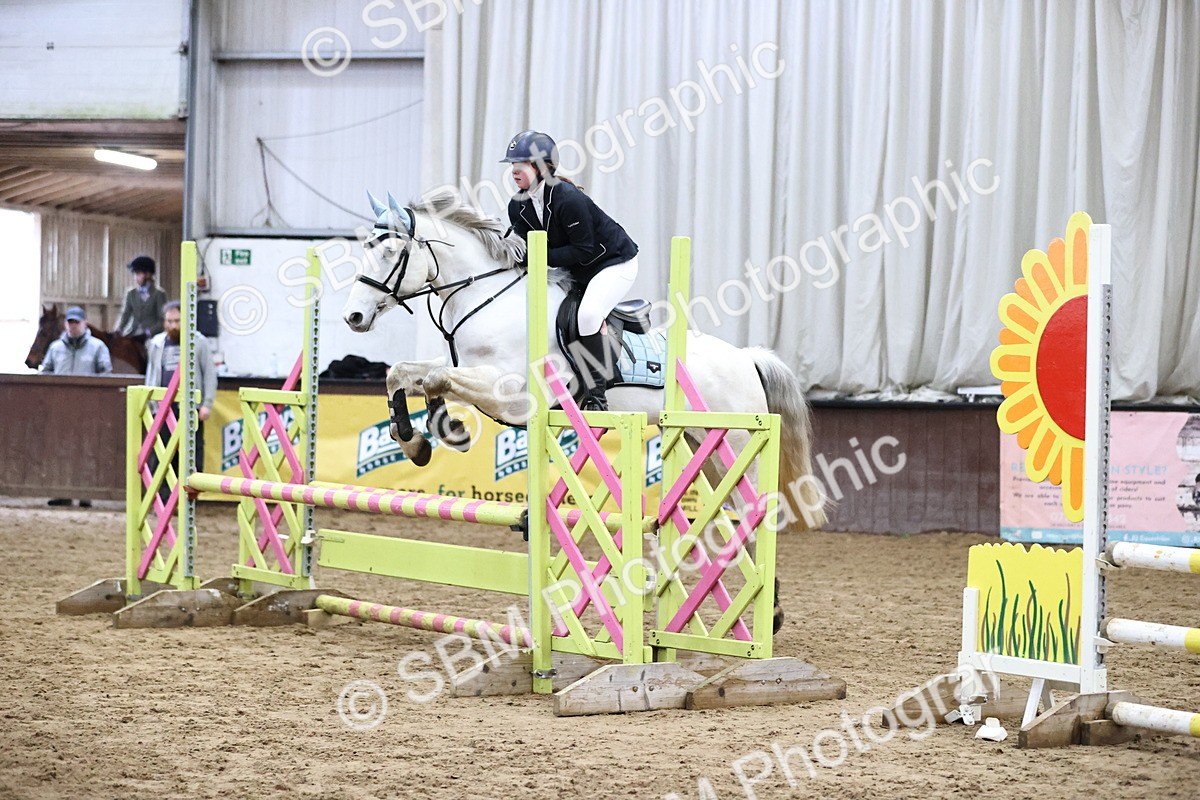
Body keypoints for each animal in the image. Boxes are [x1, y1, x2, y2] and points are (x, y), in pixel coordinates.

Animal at [340, 190, 828, 535]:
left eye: (390, 252)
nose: (354, 317)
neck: (487, 297)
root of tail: (746, 358)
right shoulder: (464, 368)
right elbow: (405, 374)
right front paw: (418, 442)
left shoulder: (510, 393)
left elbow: (437, 378)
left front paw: (448, 432)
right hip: (701, 445)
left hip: (740, 446)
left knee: (753, 513)